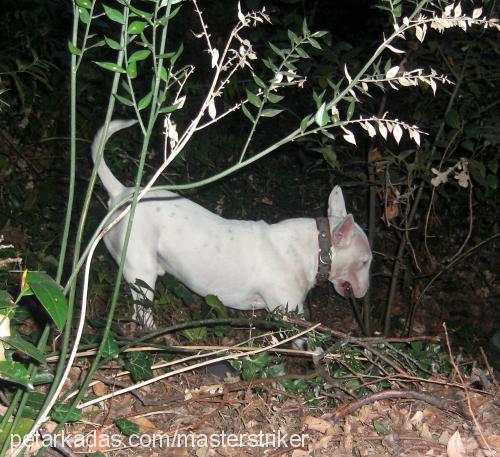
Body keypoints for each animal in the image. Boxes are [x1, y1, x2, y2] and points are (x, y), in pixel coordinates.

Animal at [91, 120, 372, 328]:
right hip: (142, 272)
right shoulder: (289, 312)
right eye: (365, 262)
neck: (312, 249)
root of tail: (121, 193)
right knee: (142, 313)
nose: (365, 293)